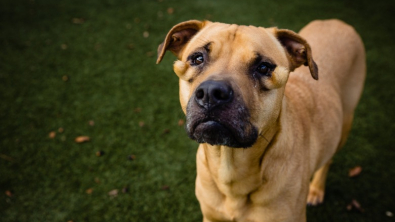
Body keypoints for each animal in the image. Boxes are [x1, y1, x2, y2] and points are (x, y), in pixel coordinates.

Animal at [156, 19, 366, 222]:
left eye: (264, 67)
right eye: (197, 58)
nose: (211, 93)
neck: (230, 167)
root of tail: (337, 21)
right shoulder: (211, 216)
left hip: (345, 122)